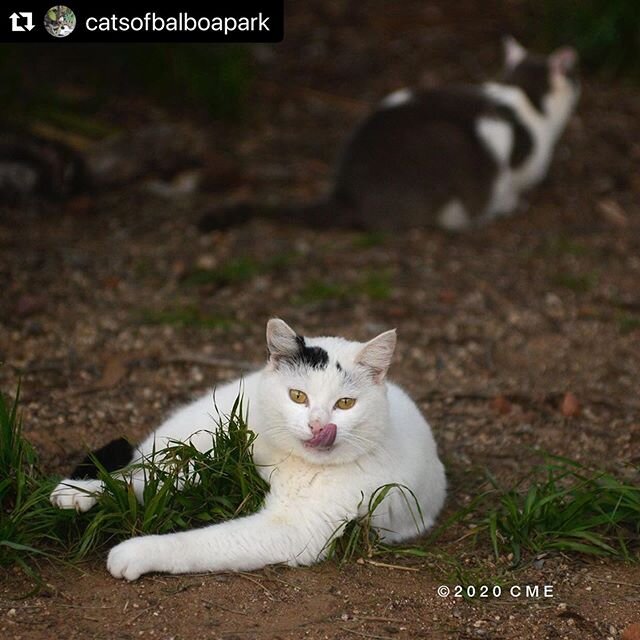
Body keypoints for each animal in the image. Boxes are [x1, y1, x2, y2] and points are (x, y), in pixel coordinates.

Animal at [51, 320, 444, 580]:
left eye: (345, 404)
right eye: (297, 396)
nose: (319, 426)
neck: (290, 462)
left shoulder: (295, 529)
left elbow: (202, 543)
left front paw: (137, 551)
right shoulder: (216, 462)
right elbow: (153, 479)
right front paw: (82, 493)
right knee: (146, 462)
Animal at [201, 37, 580, 232]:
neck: (523, 96)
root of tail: (348, 193)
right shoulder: (515, 164)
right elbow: (511, 186)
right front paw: (511, 205)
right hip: (445, 148)